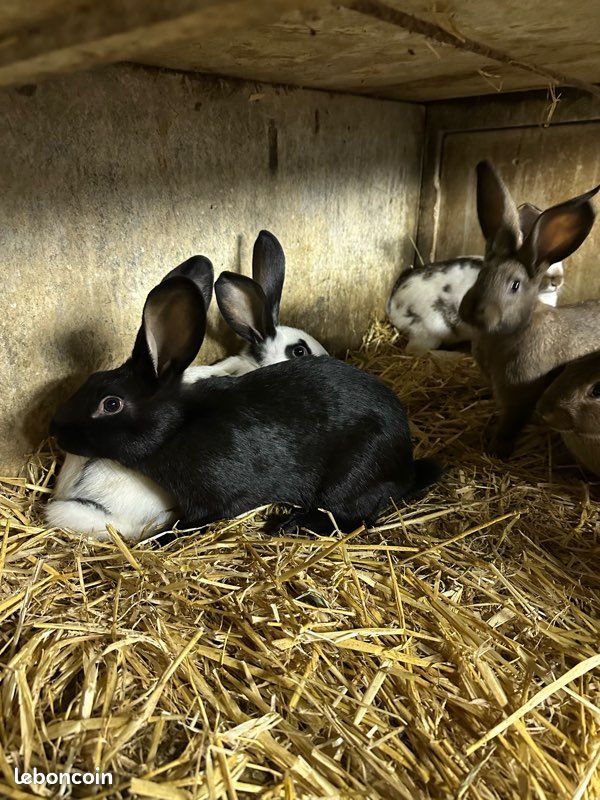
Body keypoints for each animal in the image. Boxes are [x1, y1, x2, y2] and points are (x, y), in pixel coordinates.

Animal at [49, 269, 440, 539]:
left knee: (352, 517)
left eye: (111, 404)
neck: (179, 427)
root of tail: (406, 467)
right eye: (95, 386)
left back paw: (288, 525)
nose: (55, 429)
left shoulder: (215, 501)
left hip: (350, 477)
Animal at [458, 159, 600, 458]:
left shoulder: (521, 398)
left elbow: (510, 424)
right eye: (481, 274)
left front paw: (497, 451)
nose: (472, 311)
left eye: (515, 285)